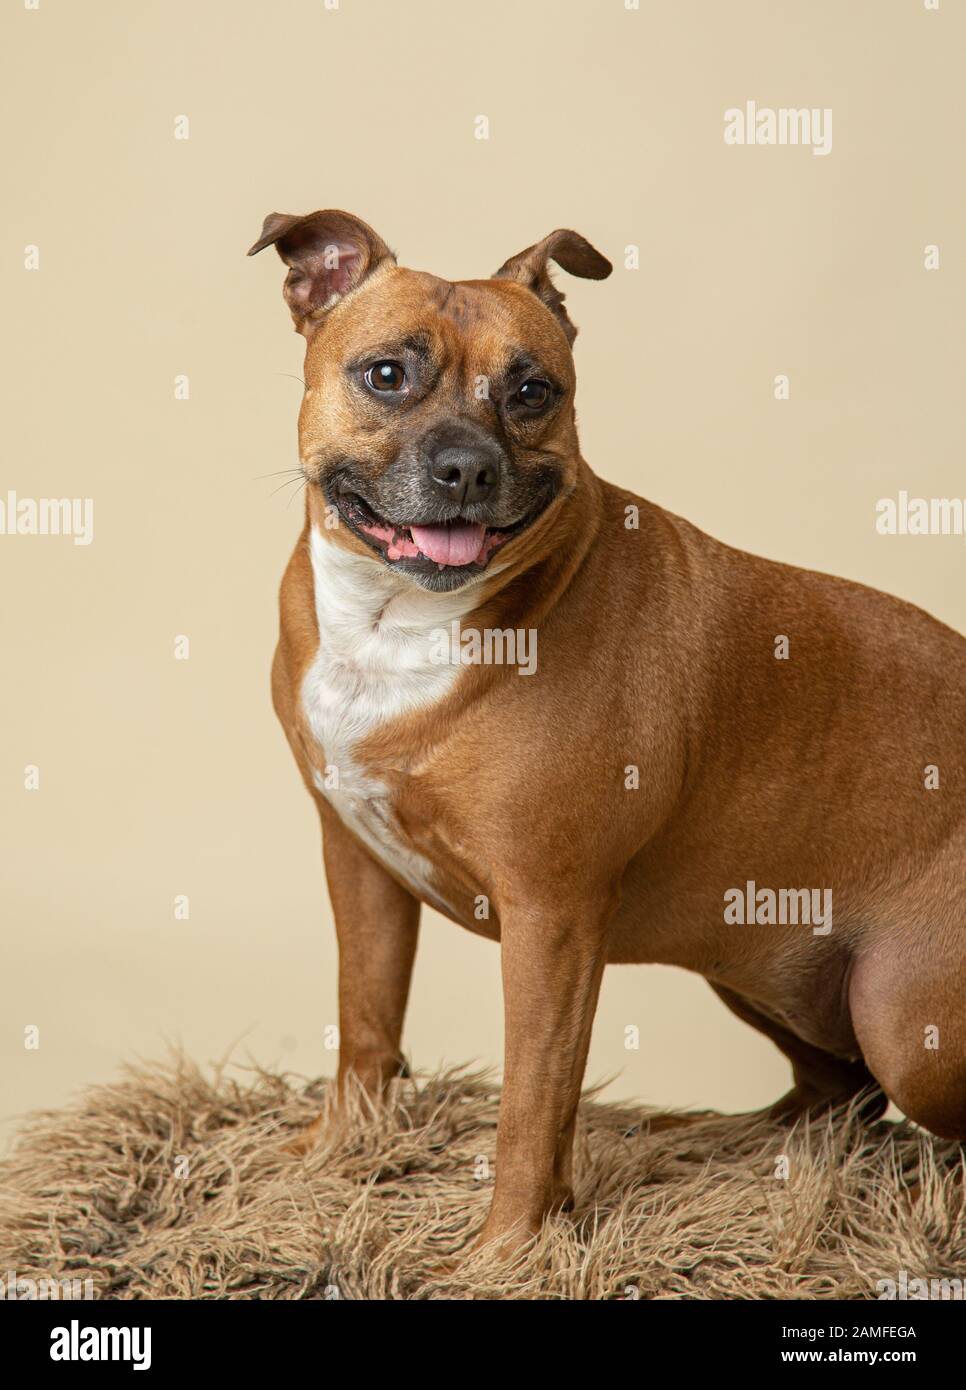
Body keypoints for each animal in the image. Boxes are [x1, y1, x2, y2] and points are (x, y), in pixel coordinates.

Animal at [251, 208, 966, 1262]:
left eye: (532, 391)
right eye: (386, 374)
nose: (467, 467)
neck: (399, 624)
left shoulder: (552, 917)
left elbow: (532, 1102)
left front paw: (506, 1250)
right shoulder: (362, 867)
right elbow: (365, 1022)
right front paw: (333, 1156)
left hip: (900, 1013)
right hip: (753, 952)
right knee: (840, 1095)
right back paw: (711, 1141)